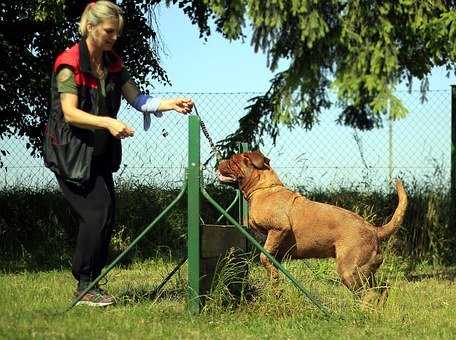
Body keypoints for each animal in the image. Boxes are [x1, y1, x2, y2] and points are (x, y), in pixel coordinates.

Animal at [216, 150, 408, 296]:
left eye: (233, 160)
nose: (219, 161)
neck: (263, 188)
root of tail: (374, 230)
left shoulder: (278, 229)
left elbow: (264, 256)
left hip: (350, 271)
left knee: (369, 295)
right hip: (366, 271)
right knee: (381, 290)